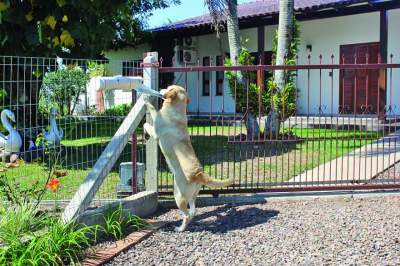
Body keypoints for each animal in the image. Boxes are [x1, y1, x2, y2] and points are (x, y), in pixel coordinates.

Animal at [143, 84, 233, 231]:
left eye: (168, 87)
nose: (161, 88)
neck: (176, 109)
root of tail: (199, 173)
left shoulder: (156, 133)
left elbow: (148, 119)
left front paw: (146, 99)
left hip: (178, 196)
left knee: (186, 215)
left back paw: (180, 229)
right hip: (192, 195)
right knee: (193, 211)